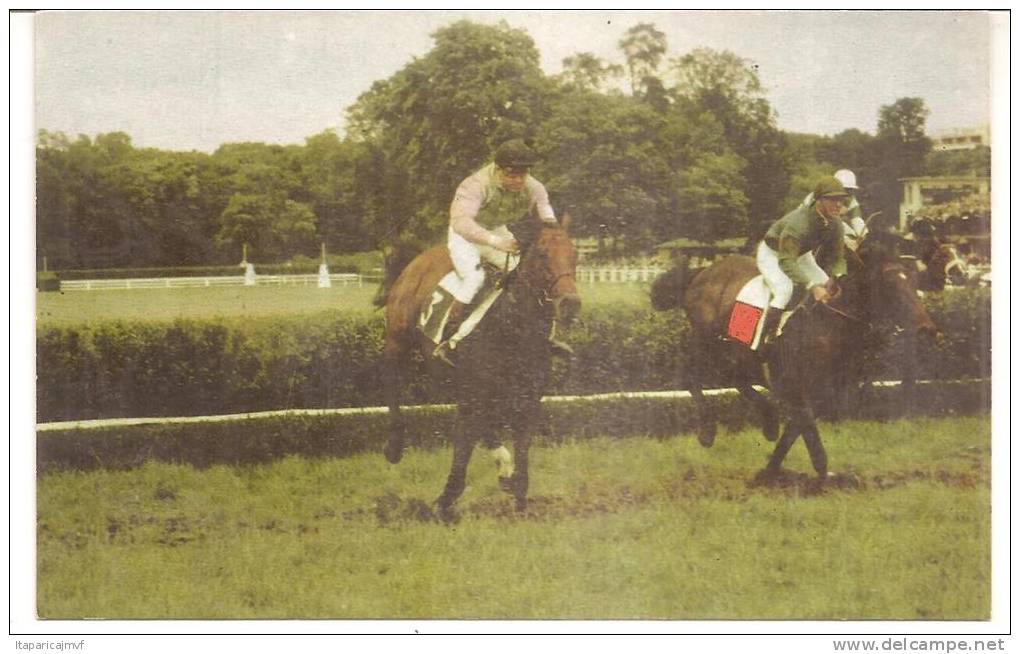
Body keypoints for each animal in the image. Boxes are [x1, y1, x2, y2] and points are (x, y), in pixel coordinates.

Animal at [379, 216, 583, 518]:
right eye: (543, 254)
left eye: (575, 255)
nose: (570, 304)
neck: (511, 328)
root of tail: (418, 258)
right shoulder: (474, 386)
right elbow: (466, 440)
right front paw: (446, 498)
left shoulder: (528, 396)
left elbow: (520, 444)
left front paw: (518, 495)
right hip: (398, 341)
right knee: (392, 383)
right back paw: (394, 446)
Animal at [648, 239, 934, 479]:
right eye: (888, 282)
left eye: (915, 280)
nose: (926, 329)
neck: (828, 323)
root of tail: (701, 273)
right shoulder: (796, 387)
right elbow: (808, 429)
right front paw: (823, 474)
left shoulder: (823, 393)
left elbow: (795, 429)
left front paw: (770, 469)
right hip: (705, 342)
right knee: (691, 377)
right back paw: (708, 432)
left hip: (737, 352)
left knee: (737, 379)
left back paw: (769, 422)